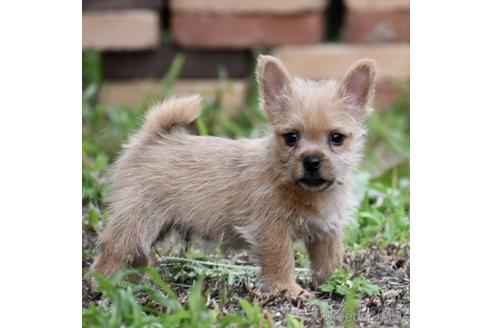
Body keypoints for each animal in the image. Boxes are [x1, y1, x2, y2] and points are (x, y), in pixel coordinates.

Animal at [92, 55, 376, 298]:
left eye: (337, 138)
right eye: (291, 138)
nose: (312, 161)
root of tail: (152, 138)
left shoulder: (326, 232)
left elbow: (329, 260)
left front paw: (339, 282)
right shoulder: (271, 233)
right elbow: (281, 262)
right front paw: (288, 290)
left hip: (157, 225)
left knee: (138, 254)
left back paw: (134, 282)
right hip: (138, 220)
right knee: (113, 250)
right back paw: (105, 284)